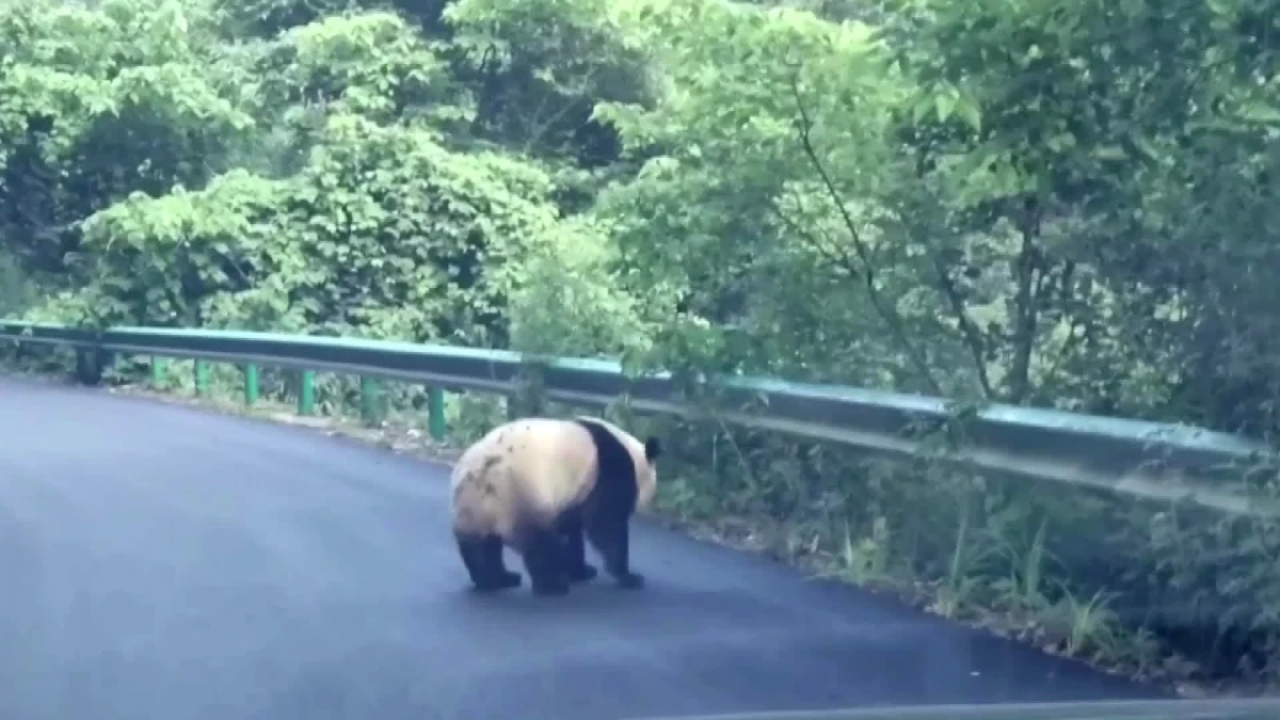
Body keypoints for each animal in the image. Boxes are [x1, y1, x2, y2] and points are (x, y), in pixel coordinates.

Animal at [449, 415, 662, 597]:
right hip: (518, 493)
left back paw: (496, 580)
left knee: (480, 547)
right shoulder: (608, 471)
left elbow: (571, 527)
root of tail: (481, 475)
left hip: (472, 505)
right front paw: (628, 576)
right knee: (539, 543)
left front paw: (581, 570)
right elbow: (606, 524)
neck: (631, 453)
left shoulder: (574, 492)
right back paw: (553, 584)